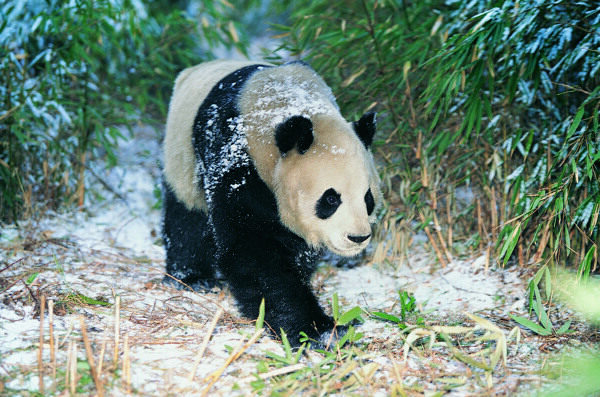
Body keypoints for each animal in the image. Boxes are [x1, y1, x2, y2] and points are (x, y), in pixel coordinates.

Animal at [162, 59, 382, 346]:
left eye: (368, 198)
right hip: (182, 152)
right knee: (186, 216)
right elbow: (253, 252)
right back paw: (192, 277)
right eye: (331, 199)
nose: (357, 237)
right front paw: (319, 329)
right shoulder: (239, 163)